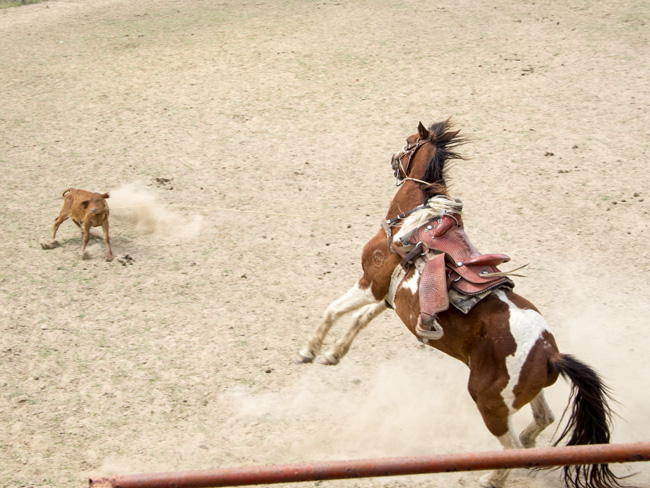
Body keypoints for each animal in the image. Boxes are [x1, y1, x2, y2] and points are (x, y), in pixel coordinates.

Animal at [296, 121, 620, 488]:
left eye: (409, 141)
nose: (393, 160)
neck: (411, 222)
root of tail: (550, 353)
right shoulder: (390, 298)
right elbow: (360, 319)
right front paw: (334, 353)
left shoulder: (372, 283)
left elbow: (334, 310)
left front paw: (309, 350)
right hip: (521, 396)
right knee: (543, 418)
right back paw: (528, 446)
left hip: (489, 403)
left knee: (510, 447)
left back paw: (491, 478)